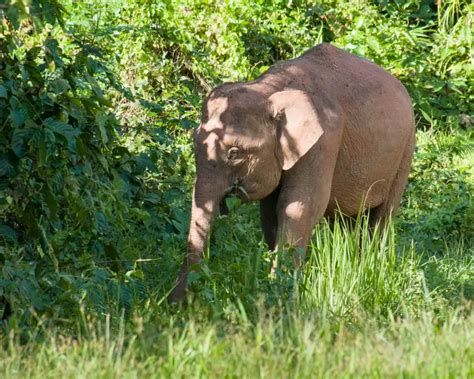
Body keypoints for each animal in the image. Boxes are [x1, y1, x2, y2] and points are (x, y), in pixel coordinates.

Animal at [170, 42, 414, 302]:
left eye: (234, 153)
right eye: (195, 142)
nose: (177, 304)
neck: (269, 89)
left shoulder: (323, 142)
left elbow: (298, 207)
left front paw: (278, 293)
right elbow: (270, 213)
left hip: (406, 151)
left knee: (381, 217)